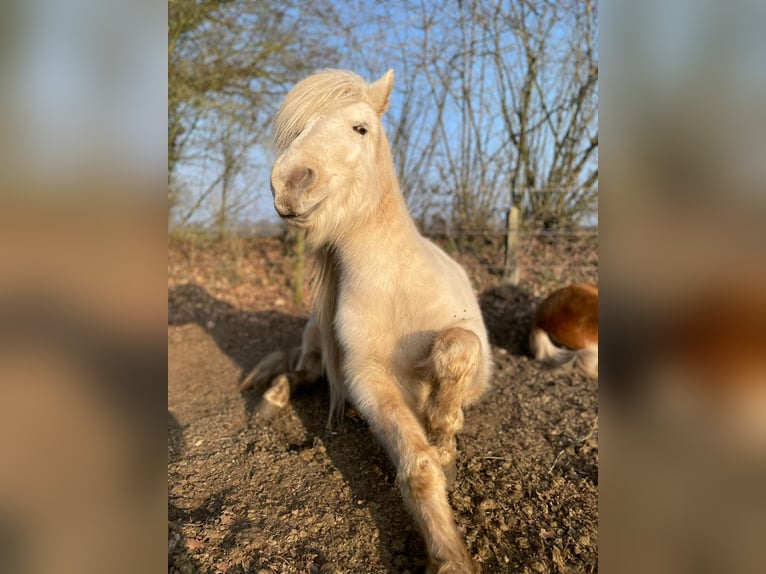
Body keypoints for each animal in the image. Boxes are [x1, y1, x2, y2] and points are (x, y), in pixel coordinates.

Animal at [245, 69, 493, 572]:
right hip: (316, 347)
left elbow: (456, 348)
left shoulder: (475, 365)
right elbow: (418, 466)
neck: (396, 286)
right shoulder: (366, 377)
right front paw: (449, 557)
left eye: (360, 128)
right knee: (300, 372)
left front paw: (444, 434)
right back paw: (271, 401)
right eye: (298, 129)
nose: (288, 183)